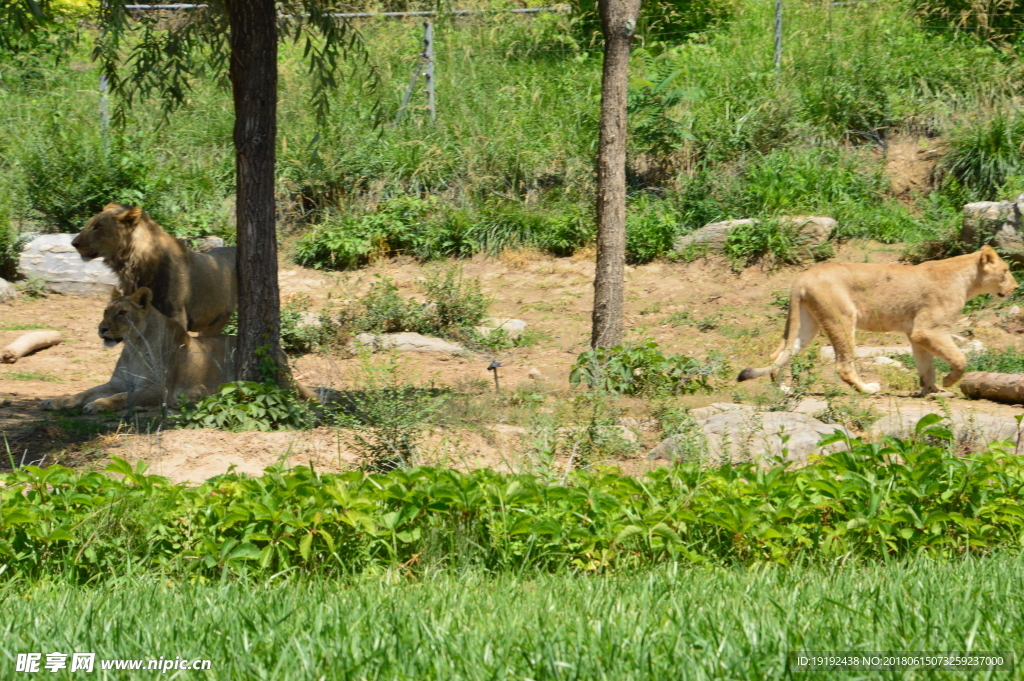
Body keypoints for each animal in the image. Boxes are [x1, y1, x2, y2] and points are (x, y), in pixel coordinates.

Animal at [737, 242, 1015, 393]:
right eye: (1005, 271)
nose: (1015, 287)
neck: (967, 279)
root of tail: (802, 277)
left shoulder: (916, 334)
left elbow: (926, 366)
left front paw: (932, 390)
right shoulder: (929, 329)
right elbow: (960, 358)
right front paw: (949, 381)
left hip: (807, 323)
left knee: (778, 353)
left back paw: (782, 388)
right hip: (842, 318)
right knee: (844, 365)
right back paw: (867, 389)